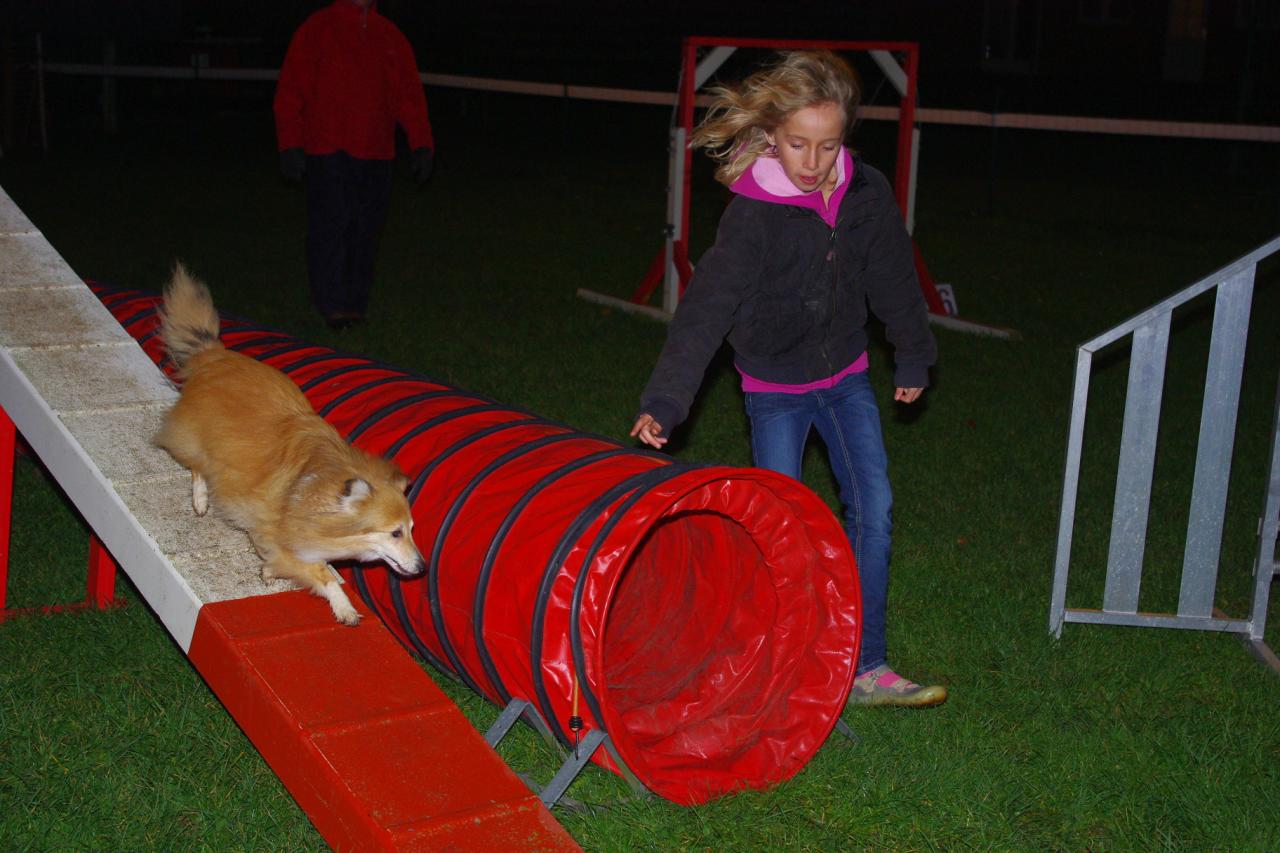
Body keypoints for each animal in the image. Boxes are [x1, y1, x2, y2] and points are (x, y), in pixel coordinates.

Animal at [152, 262, 424, 622]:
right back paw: (200, 500)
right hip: (198, 442)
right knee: (195, 464)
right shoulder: (282, 536)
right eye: (395, 532)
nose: (422, 568)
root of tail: (215, 356)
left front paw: (268, 570)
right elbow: (321, 573)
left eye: (411, 528)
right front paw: (344, 607)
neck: (318, 489)